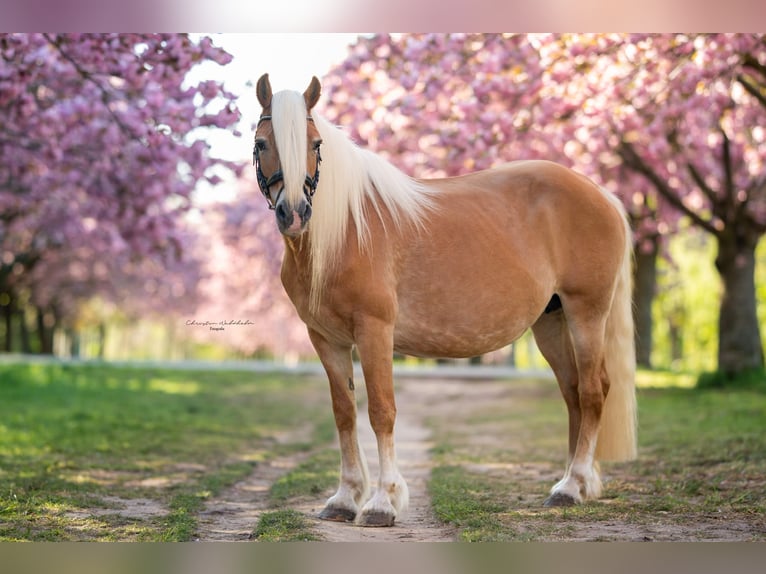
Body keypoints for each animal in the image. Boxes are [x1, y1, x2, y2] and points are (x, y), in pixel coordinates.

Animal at [255, 74, 640, 528]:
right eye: (261, 143)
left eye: (315, 144)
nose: (293, 213)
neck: (346, 229)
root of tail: (602, 195)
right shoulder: (326, 339)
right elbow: (344, 413)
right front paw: (345, 498)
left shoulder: (374, 330)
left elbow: (381, 411)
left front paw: (382, 502)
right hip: (552, 322)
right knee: (574, 392)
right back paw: (573, 485)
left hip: (586, 313)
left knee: (593, 392)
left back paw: (572, 484)